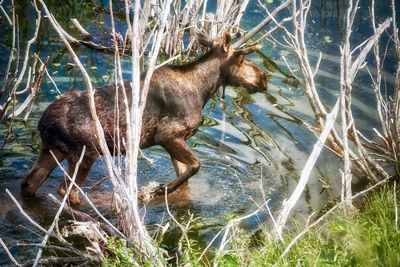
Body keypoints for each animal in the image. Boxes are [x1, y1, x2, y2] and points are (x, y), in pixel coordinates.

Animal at [19, 30, 268, 205]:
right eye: (241, 59)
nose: (263, 78)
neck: (203, 90)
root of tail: (43, 123)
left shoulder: (176, 139)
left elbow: (186, 179)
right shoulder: (167, 135)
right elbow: (196, 165)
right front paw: (159, 190)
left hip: (53, 149)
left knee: (29, 182)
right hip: (86, 152)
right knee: (67, 191)